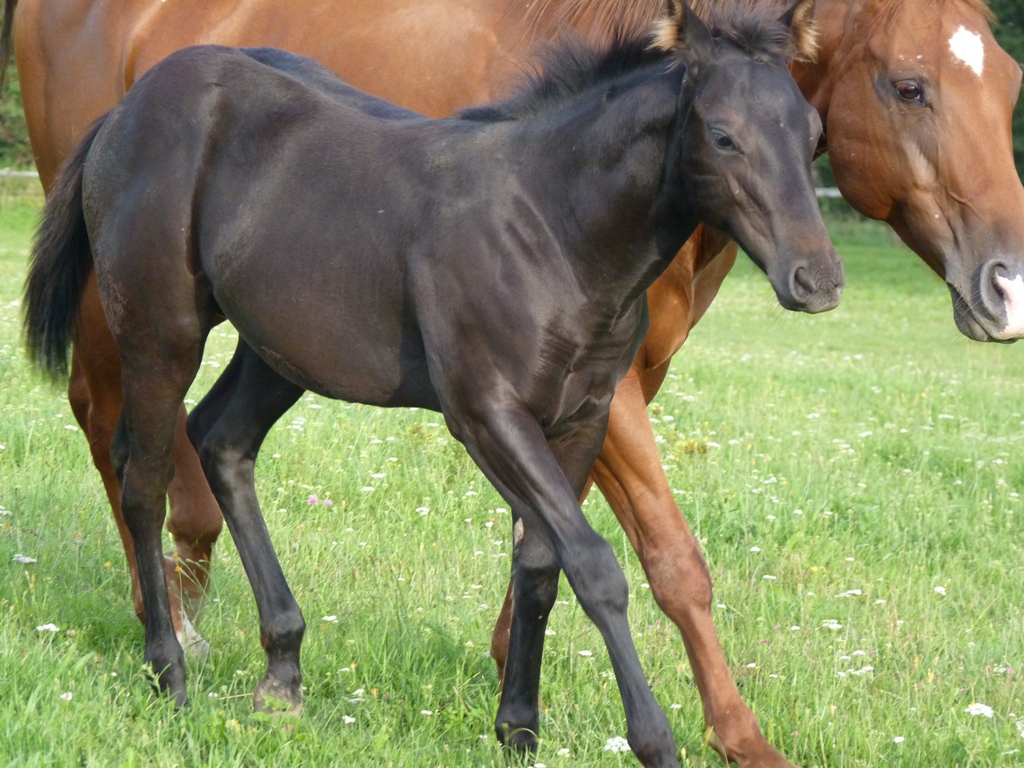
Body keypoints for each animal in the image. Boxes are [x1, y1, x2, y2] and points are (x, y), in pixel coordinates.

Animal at [6, 0, 1024, 765]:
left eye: (809, 129)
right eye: (724, 136)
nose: (818, 280)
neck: (552, 221)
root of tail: (130, 108)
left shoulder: (577, 418)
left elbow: (540, 566)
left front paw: (518, 729)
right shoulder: (488, 413)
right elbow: (602, 565)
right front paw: (657, 740)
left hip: (280, 347)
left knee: (221, 440)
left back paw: (283, 673)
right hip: (156, 331)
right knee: (140, 472)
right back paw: (171, 670)